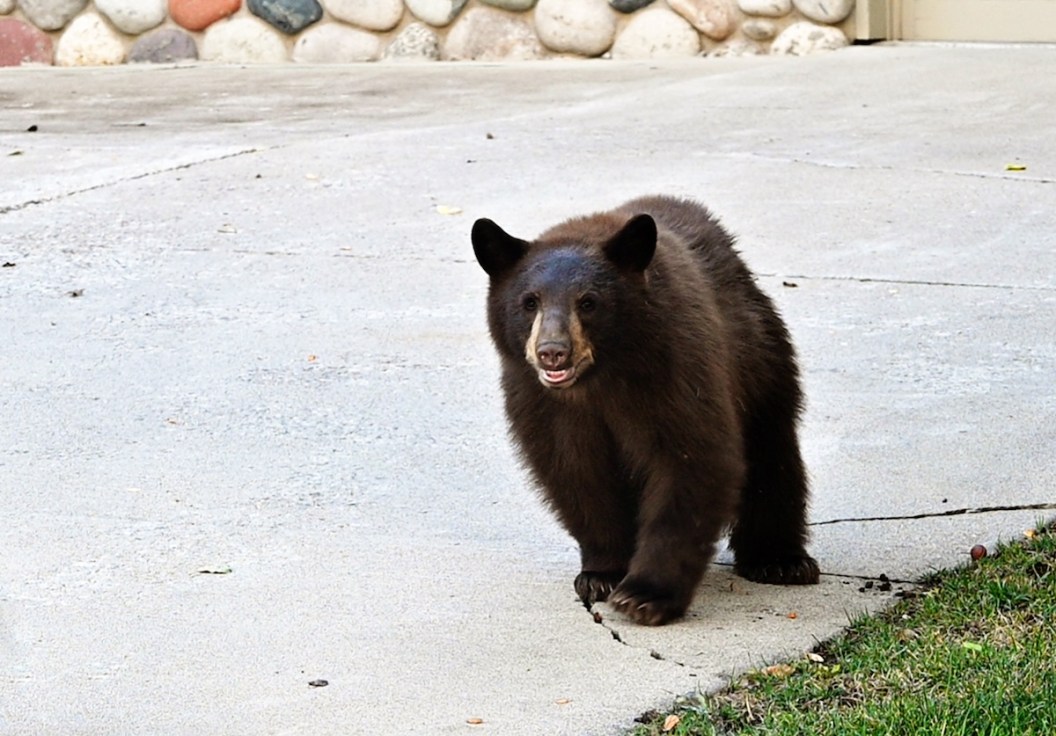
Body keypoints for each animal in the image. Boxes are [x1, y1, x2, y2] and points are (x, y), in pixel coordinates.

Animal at [471, 195, 819, 626]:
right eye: (529, 302)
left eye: (588, 302)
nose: (553, 351)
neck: (599, 383)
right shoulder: (541, 402)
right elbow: (576, 472)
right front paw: (602, 574)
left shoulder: (674, 369)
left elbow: (690, 460)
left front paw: (645, 595)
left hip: (760, 360)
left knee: (773, 454)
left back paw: (780, 560)